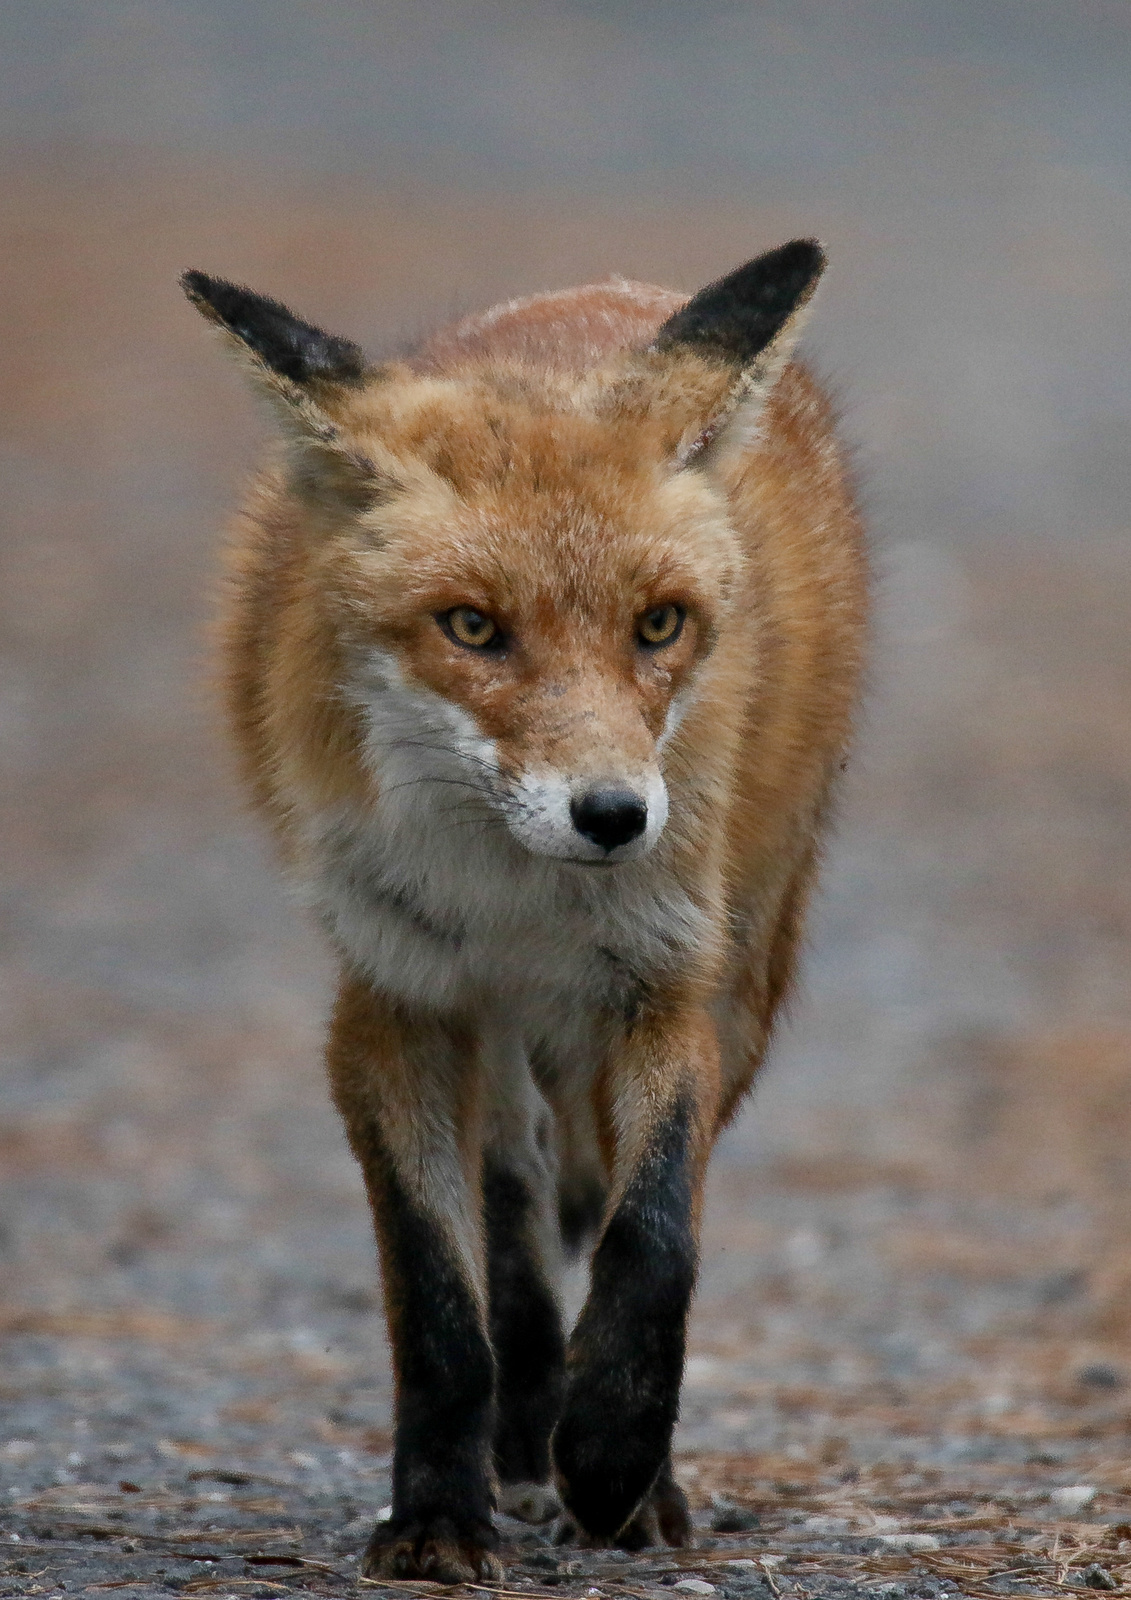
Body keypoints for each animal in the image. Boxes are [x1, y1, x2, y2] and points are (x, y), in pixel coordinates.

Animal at [183, 243, 870, 1580]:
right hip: (490, 1031)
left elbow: (653, 1242)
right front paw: (439, 1515)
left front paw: (611, 1456)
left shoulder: (667, 988)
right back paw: (520, 1429)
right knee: (511, 1195)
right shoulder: (390, 1001)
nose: (613, 816)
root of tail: (611, 285)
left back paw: (618, 1465)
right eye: (471, 627)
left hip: (745, 978)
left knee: (601, 1196)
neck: (515, 897)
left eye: (659, 624)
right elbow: (439, 1301)